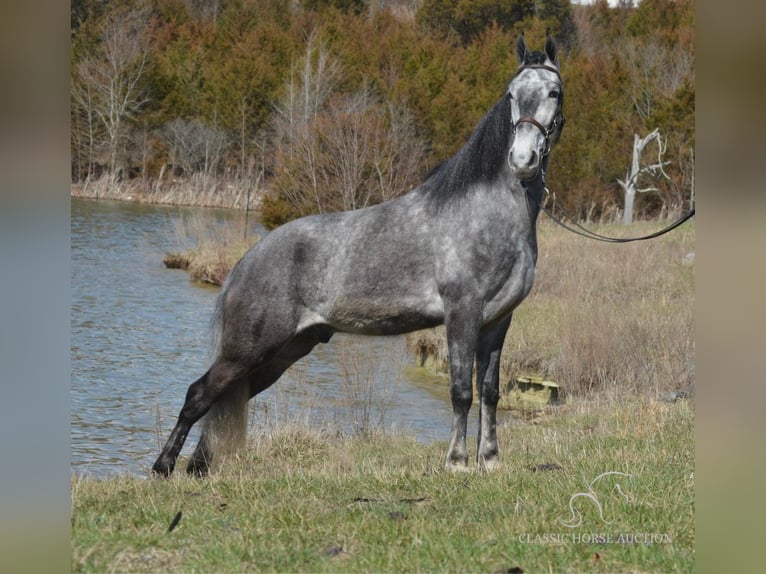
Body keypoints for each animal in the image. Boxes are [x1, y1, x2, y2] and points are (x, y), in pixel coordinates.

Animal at [153, 33, 568, 480]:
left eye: (554, 92)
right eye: (511, 94)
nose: (522, 160)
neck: (487, 214)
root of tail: (244, 263)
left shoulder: (497, 321)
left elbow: (489, 391)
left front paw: (489, 460)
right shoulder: (463, 313)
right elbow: (460, 391)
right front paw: (456, 463)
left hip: (284, 351)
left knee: (227, 396)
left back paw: (198, 468)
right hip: (248, 350)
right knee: (199, 395)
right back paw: (163, 467)